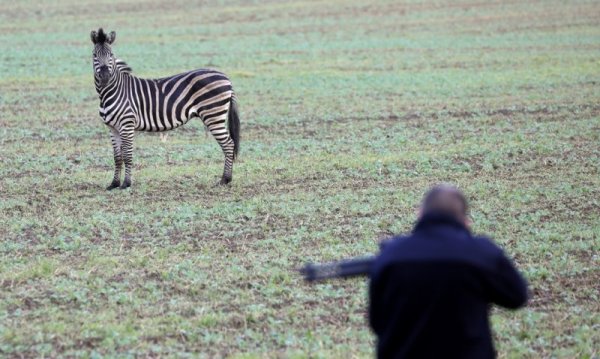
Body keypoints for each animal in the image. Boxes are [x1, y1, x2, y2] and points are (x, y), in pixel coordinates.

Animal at [89, 27, 239, 191]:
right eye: (94, 55)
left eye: (111, 55)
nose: (105, 76)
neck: (113, 91)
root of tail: (225, 77)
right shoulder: (112, 128)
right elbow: (117, 157)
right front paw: (114, 184)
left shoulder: (127, 124)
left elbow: (127, 155)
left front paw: (126, 184)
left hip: (214, 115)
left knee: (229, 144)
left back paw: (225, 179)